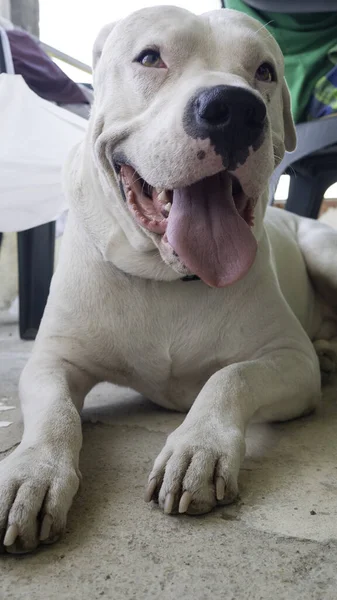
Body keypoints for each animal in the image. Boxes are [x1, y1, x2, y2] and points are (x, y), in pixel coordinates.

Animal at [0, 5, 336, 552]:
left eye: (265, 71)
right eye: (150, 57)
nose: (234, 107)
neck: (169, 277)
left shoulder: (290, 359)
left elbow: (231, 376)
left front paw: (199, 448)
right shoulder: (52, 360)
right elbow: (56, 413)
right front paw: (32, 473)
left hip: (324, 251)